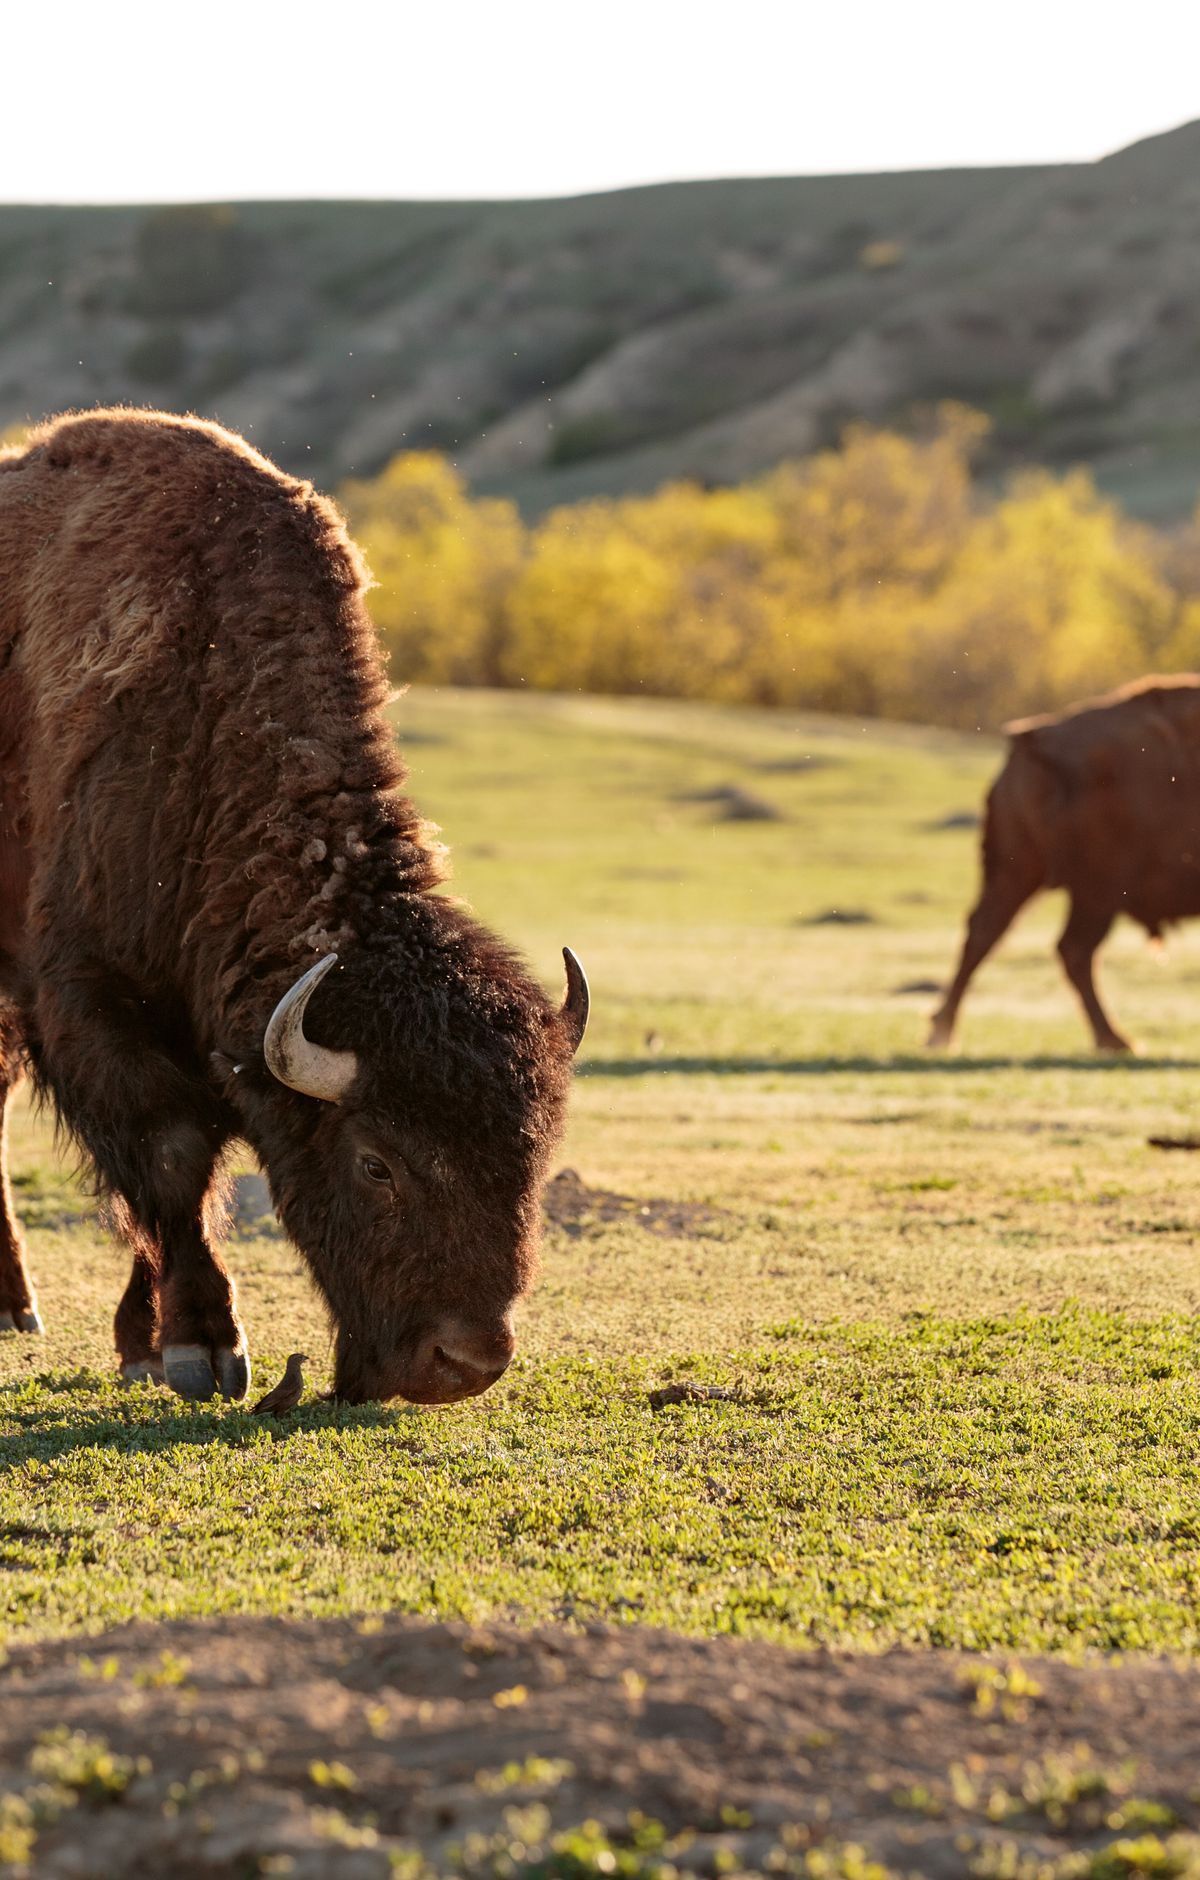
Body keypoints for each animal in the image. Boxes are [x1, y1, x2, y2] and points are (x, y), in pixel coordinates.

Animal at [0, 410, 587, 1405]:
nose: (465, 1363)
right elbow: (173, 1164)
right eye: (377, 1162)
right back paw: (15, 1307)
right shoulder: (90, 1003)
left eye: (535, 1157)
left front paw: (142, 1345)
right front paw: (201, 1349)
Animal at [929, 676, 1200, 1053]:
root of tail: (1035, 738)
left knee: (985, 931)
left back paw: (941, 1031)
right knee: (1072, 949)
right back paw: (1116, 1040)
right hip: (1098, 889)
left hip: (1019, 871)